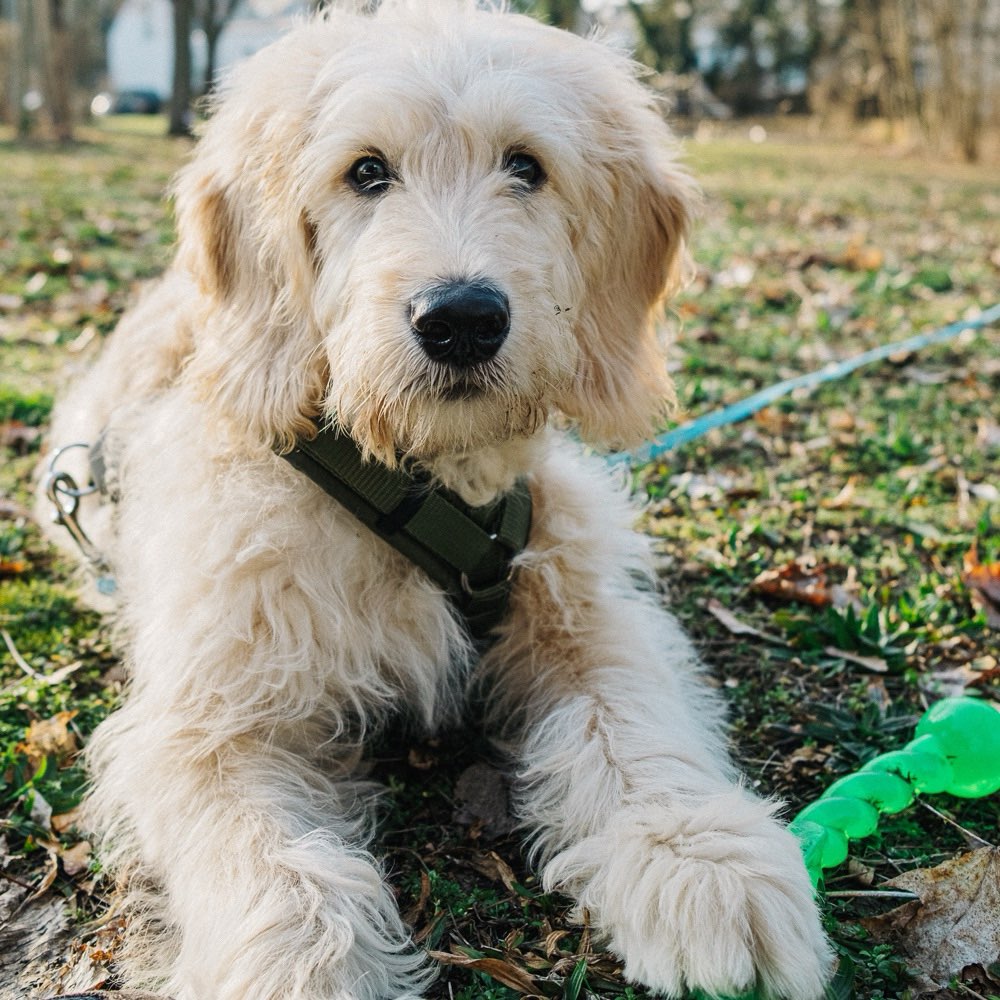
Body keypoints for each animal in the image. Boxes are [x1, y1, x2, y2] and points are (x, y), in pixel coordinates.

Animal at [45, 1, 828, 1000]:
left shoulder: (581, 613)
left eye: (525, 166)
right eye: (366, 171)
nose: (460, 319)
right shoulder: (207, 717)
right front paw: (302, 963)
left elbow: (630, 718)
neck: (411, 486)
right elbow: (263, 854)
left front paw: (700, 859)